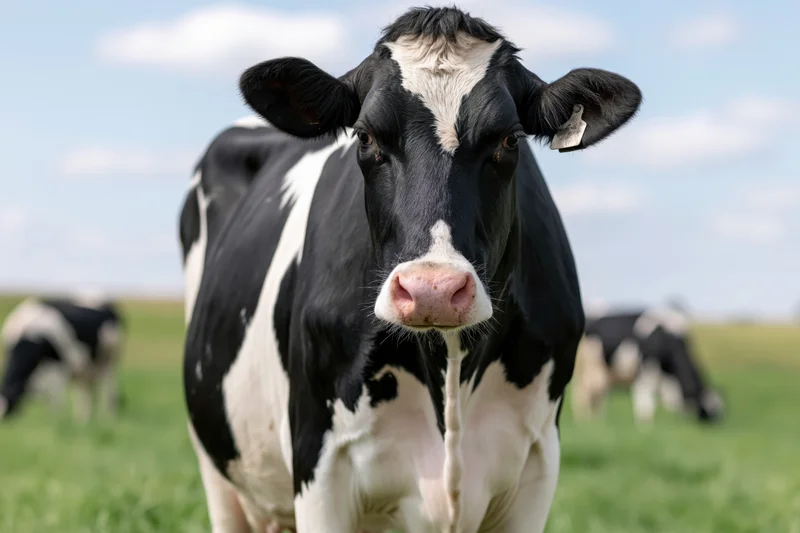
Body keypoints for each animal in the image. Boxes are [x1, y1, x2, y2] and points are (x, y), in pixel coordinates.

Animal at [179, 6, 642, 533]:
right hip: (218, 469)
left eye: (509, 139)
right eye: (365, 136)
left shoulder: (538, 462)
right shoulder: (318, 462)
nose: (433, 290)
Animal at [570, 306, 725, 425]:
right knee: (582, 392)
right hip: (585, 369)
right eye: (707, 411)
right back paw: (584, 420)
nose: (716, 426)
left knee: (599, 395)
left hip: (603, 373)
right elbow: (645, 401)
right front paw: (645, 426)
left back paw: (598, 421)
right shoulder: (644, 372)